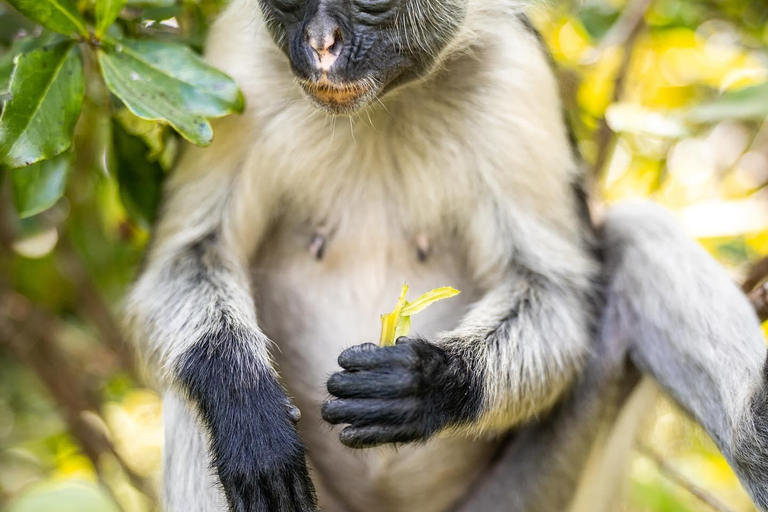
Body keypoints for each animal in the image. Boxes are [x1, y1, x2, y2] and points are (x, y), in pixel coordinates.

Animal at [124, 0, 768, 510]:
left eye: (371, 1)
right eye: (290, 2)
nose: (321, 46)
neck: (383, 102)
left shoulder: (514, 71)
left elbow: (554, 289)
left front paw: (432, 385)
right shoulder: (238, 57)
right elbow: (187, 259)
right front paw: (246, 409)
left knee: (638, 236)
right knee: (193, 385)